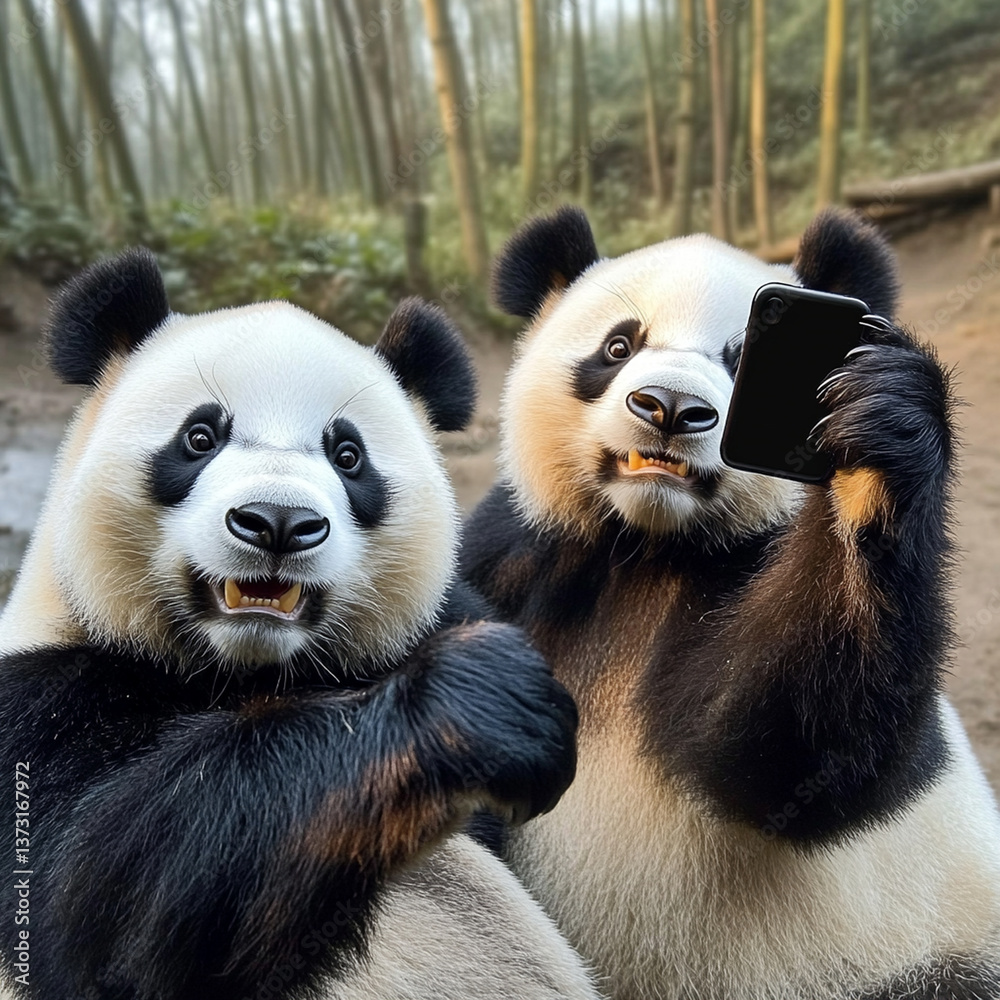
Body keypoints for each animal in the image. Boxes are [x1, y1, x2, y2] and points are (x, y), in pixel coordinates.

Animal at [0, 249, 603, 1000]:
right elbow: (102, 900)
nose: (278, 522)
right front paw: (487, 702)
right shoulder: (45, 695)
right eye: (200, 436)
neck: (244, 669)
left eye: (348, 456)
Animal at [460, 206, 1000, 1000]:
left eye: (739, 356)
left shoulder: (750, 563)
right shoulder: (520, 555)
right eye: (619, 345)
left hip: (915, 953)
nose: (670, 408)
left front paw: (876, 444)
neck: (648, 545)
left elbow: (787, 752)